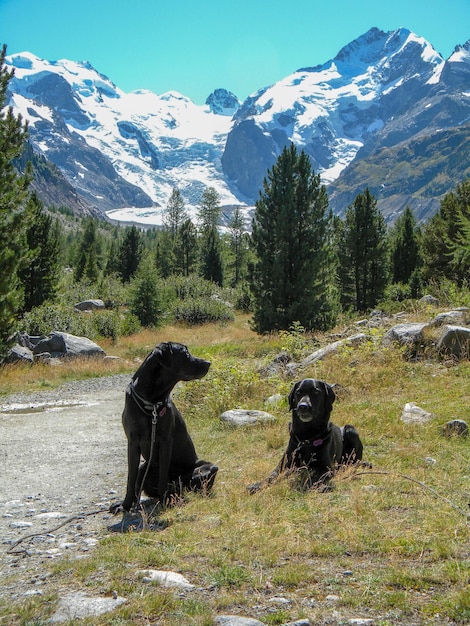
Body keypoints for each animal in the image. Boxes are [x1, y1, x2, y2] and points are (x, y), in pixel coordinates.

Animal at [110, 342, 218, 512]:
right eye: (186, 354)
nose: (208, 363)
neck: (152, 402)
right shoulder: (132, 443)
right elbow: (130, 479)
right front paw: (125, 506)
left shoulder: (165, 441)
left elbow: (162, 476)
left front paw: (164, 501)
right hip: (144, 467)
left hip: (207, 467)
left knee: (187, 483)